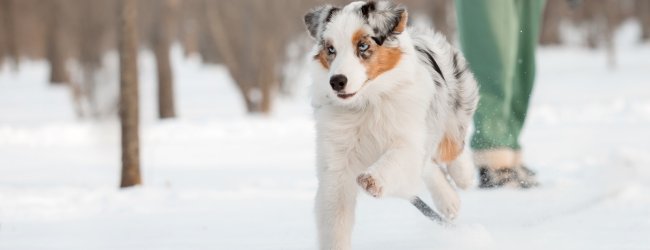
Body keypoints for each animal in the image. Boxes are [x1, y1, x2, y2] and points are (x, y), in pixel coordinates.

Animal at [302, 0, 476, 249]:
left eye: (363, 45)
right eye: (331, 49)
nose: (336, 82)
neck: (367, 103)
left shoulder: (409, 136)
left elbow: (396, 157)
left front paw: (372, 180)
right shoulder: (336, 164)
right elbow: (335, 221)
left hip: (451, 109)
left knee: (451, 147)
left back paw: (464, 176)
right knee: (427, 166)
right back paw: (449, 201)